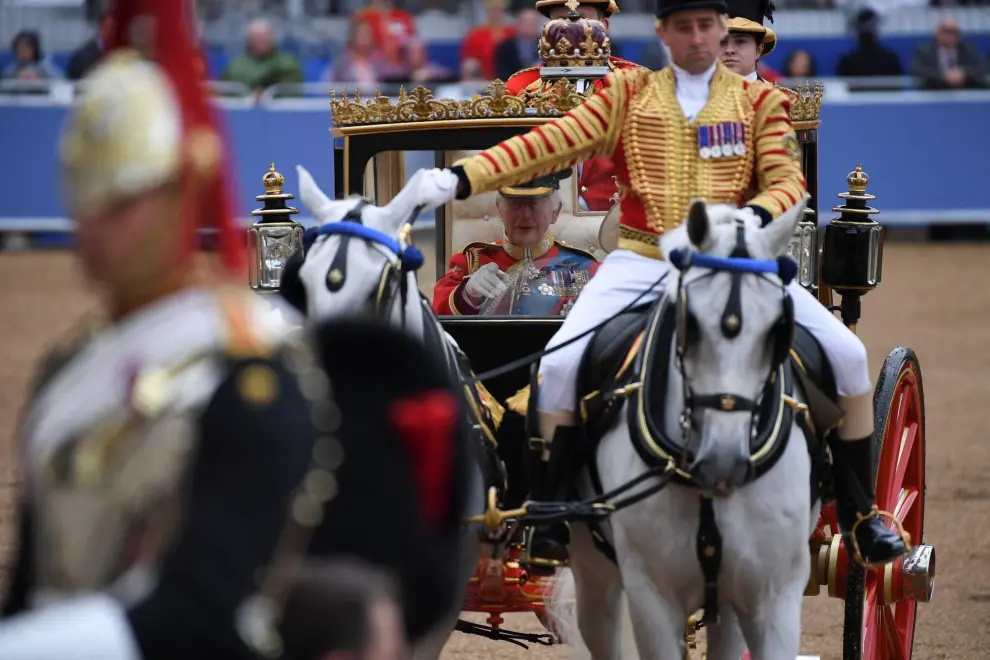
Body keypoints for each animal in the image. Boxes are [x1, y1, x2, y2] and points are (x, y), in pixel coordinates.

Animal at [552, 196, 820, 660]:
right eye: (689, 323)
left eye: (777, 329)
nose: (723, 463)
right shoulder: (652, 600)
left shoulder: (774, 598)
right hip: (594, 576)